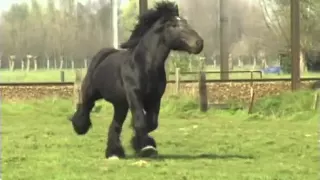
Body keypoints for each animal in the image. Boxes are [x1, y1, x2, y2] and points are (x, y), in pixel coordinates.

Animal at [70, 1, 204, 159]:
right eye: (173, 25)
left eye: (185, 22)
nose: (199, 43)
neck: (144, 66)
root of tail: (103, 55)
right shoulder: (134, 95)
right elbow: (140, 121)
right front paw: (146, 148)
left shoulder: (155, 98)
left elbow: (151, 123)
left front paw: (140, 144)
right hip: (92, 93)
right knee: (85, 107)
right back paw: (81, 127)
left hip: (120, 105)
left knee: (115, 125)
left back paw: (114, 152)